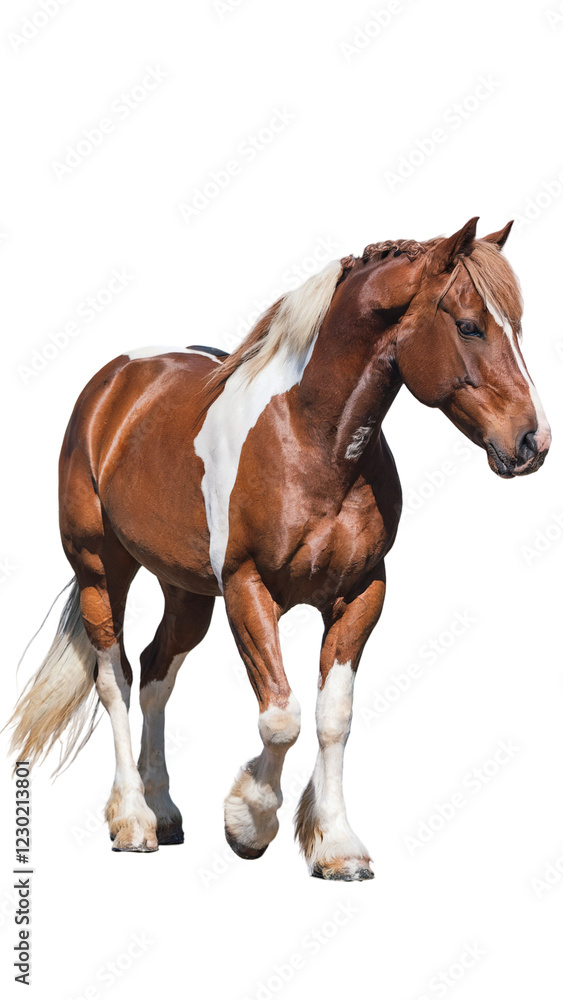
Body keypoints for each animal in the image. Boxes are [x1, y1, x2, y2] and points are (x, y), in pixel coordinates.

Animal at [9, 216, 551, 881]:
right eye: (470, 325)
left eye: (517, 326)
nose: (532, 441)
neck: (309, 438)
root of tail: (115, 383)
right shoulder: (248, 589)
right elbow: (281, 717)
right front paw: (249, 822)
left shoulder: (360, 593)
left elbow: (332, 718)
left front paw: (337, 846)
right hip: (101, 569)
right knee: (115, 676)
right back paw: (133, 821)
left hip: (187, 592)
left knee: (157, 672)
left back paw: (164, 812)